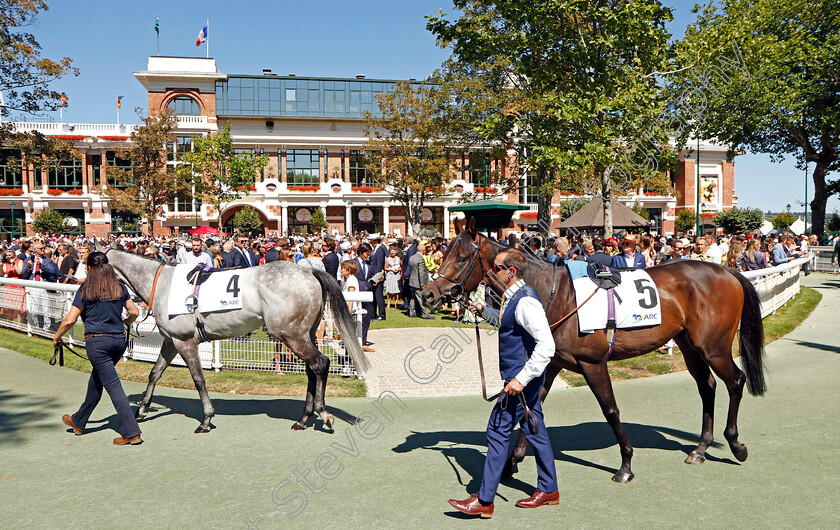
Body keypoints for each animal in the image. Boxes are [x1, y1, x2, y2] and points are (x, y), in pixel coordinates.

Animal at [97, 241, 368, 432]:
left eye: (92, 263)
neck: (164, 283)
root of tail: (310, 273)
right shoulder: (171, 341)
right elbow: (155, 373)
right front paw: (142, 409)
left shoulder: (185, 342)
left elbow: (198, 379)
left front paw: (206, 419)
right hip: (305, 334)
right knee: (312, 369)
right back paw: (303, 419)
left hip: (291, 335)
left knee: (320, 364)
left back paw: (322, 413)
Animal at [424, 221, 764, 480]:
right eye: (447, 253)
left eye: (462, 257)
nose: (428, 294)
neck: (555, 294)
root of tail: (729, 273)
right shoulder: (551, 363)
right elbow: (531, 407)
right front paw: (512, 460)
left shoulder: (593, 363)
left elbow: (610, 409)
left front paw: (626, 464)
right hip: (689, 345)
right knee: (707, 386)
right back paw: (700, 448)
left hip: (714, 347)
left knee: (735, 381)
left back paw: (736, 445)